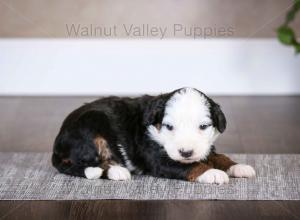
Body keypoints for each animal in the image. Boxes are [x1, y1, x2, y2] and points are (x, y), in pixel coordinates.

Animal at [52, 87, 255, 184]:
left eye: (203, 126)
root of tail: (57, 145)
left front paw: (238, 167)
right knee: (86, 162)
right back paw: (117, 171)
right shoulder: (158, 159)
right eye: (169, 127)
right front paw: (212, 173)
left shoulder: (205, 148)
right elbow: (190, 165)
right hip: (90, 126)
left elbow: (219, 156)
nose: (186, 152)